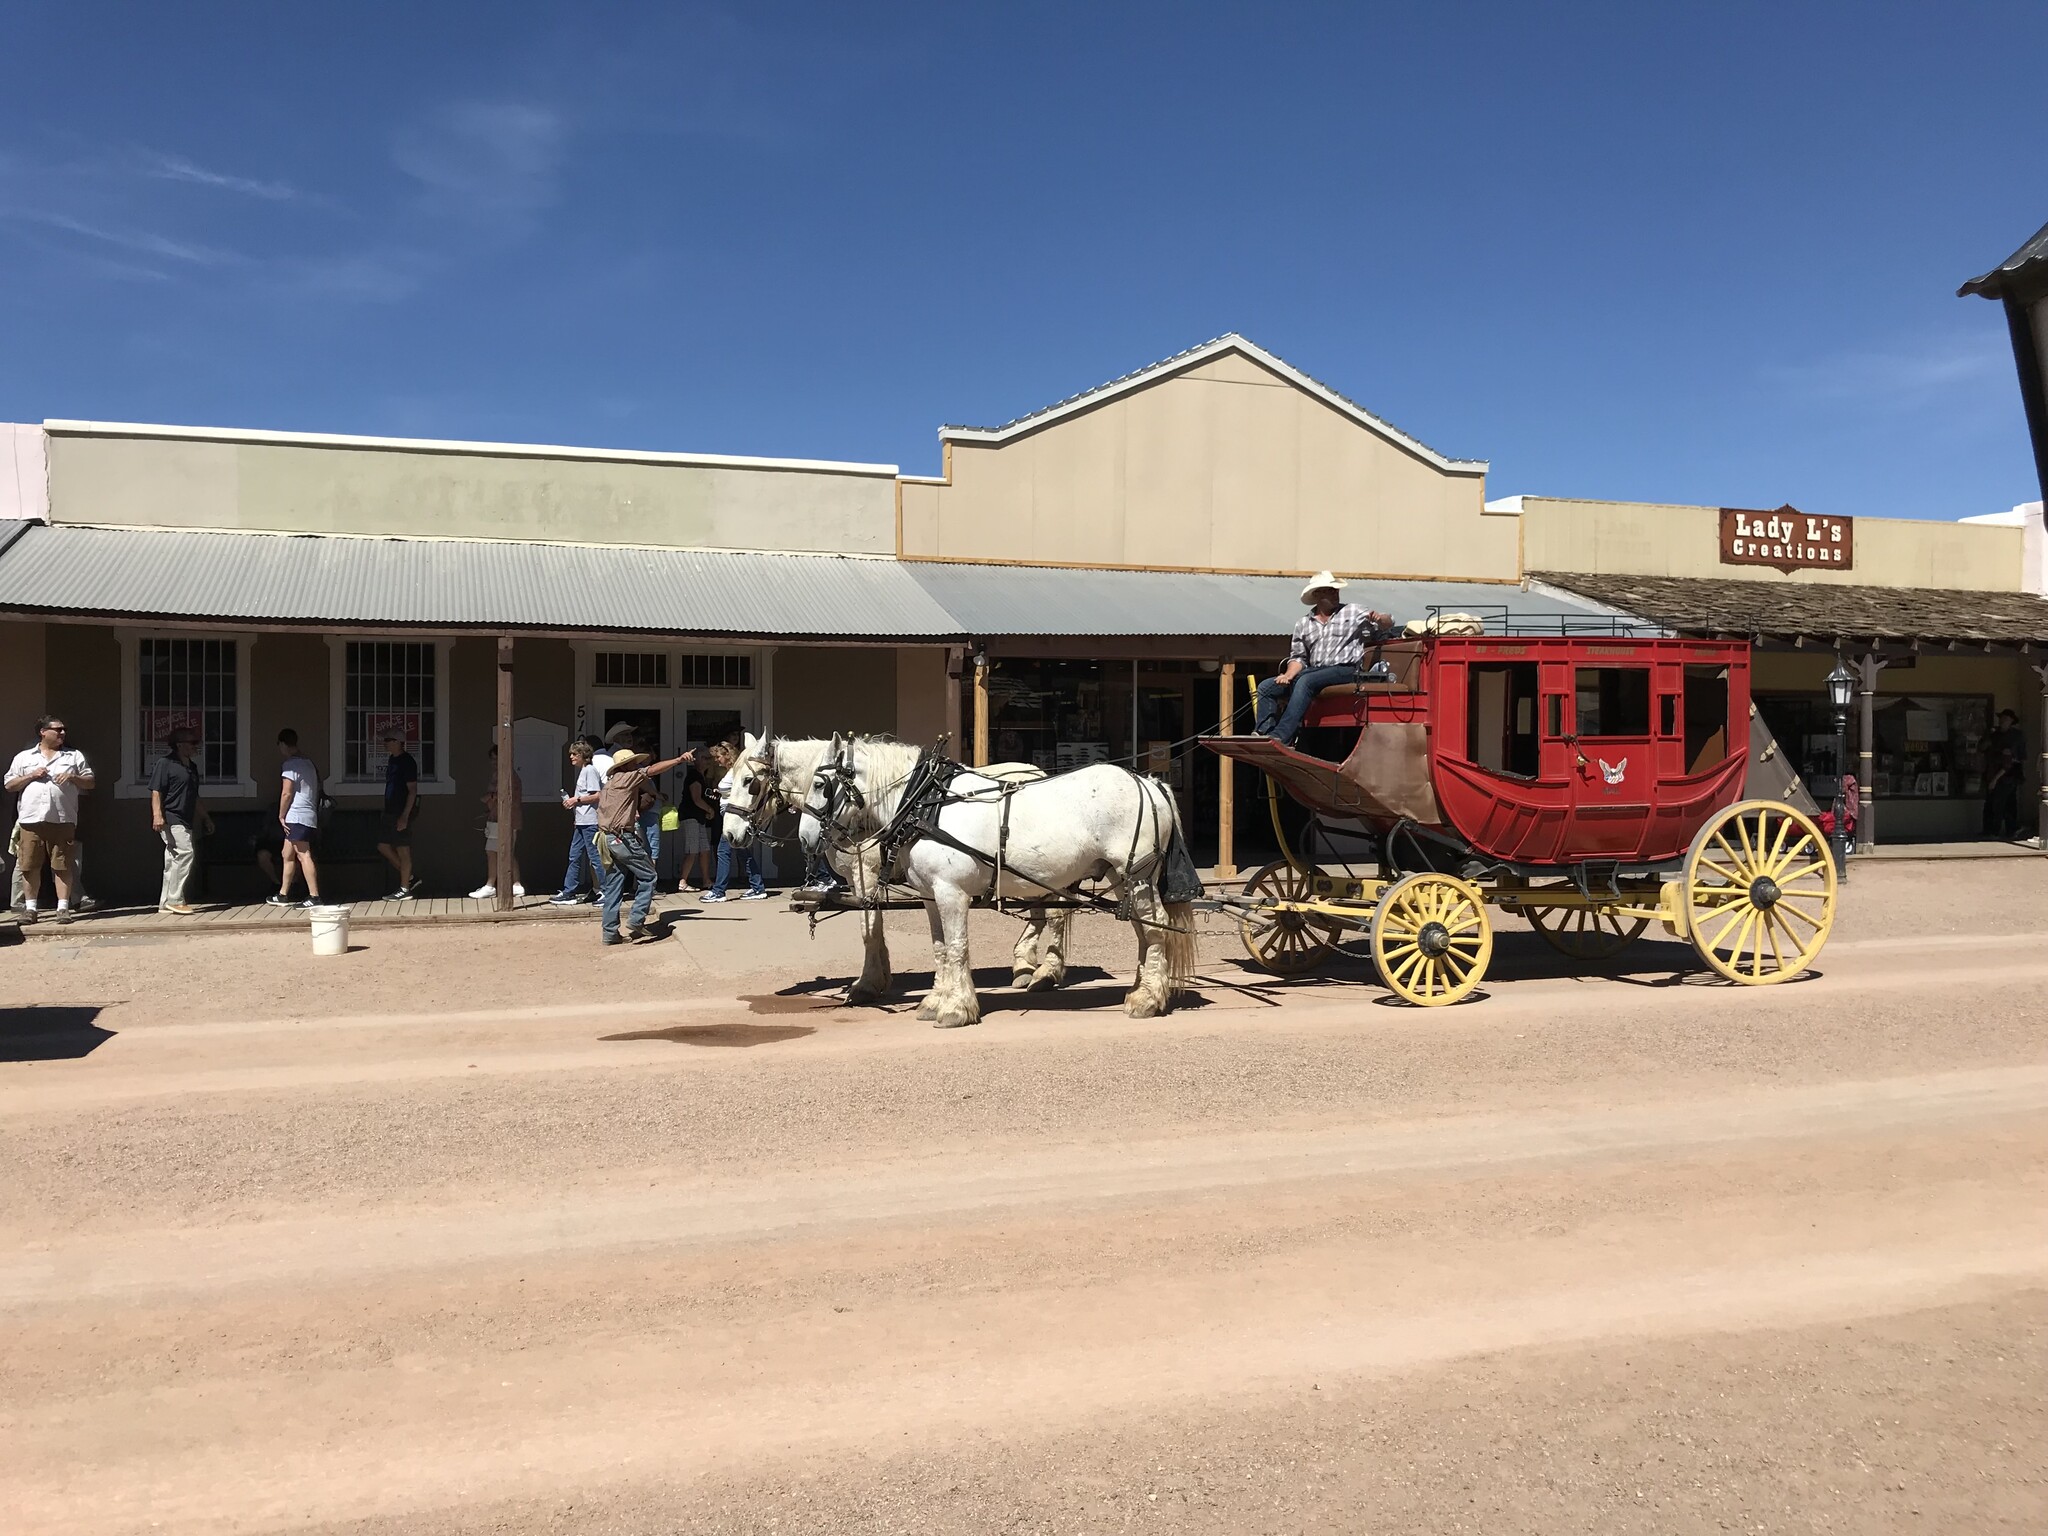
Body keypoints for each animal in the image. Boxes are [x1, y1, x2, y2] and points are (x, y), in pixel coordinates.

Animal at [724, 737, 1196, 1036]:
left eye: (750, 782)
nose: (730, 834)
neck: (921, 805)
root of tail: (1148, 782)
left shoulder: (944, 891)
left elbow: (950, 945)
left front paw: (953, 1007)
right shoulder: (931, 895)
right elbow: (938, 949)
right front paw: (935, 1000)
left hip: (1134, 875)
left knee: (1151, 930)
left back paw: (1144, 998)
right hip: (1114, 877)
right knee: (1138, 930)